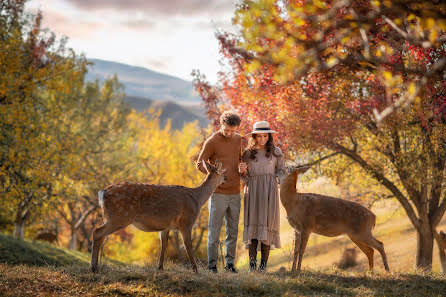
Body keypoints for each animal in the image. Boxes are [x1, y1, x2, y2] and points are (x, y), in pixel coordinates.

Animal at [89, 160, 226, 272]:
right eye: (222, 172)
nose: (225, 178)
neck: (197, 199)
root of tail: (103, 193)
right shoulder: (186, 221)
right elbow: (188, 245)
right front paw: (195, 270)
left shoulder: (165, 226)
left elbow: (163, 245)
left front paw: (160, 267)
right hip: (119, 216)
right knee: (97, 231)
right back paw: (94, 267)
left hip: (115, 217)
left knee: (99, 234)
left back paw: (95, 266)